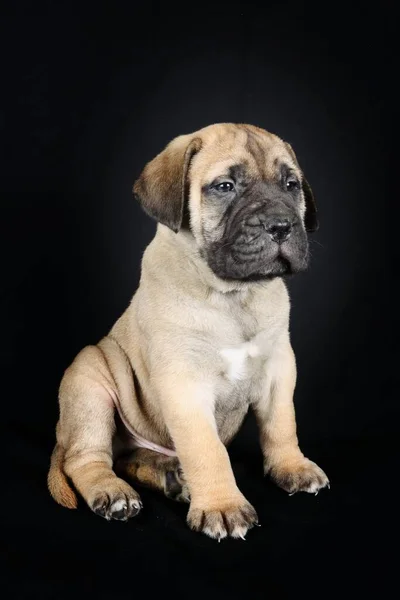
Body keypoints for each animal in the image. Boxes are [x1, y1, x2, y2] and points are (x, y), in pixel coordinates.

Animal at [47, 122, 328, 540]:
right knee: (87, 459)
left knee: (129, 459)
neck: (234, 295)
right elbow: (208, 450)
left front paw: (291, 467)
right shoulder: (185, 384)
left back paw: (171, 478)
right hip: (89, 379)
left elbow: (281, 423)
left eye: (291, 185)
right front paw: (222, 506)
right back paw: (113, 492)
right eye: (225, 186)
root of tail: (61, 435)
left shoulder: (279, 366)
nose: (281, 225)